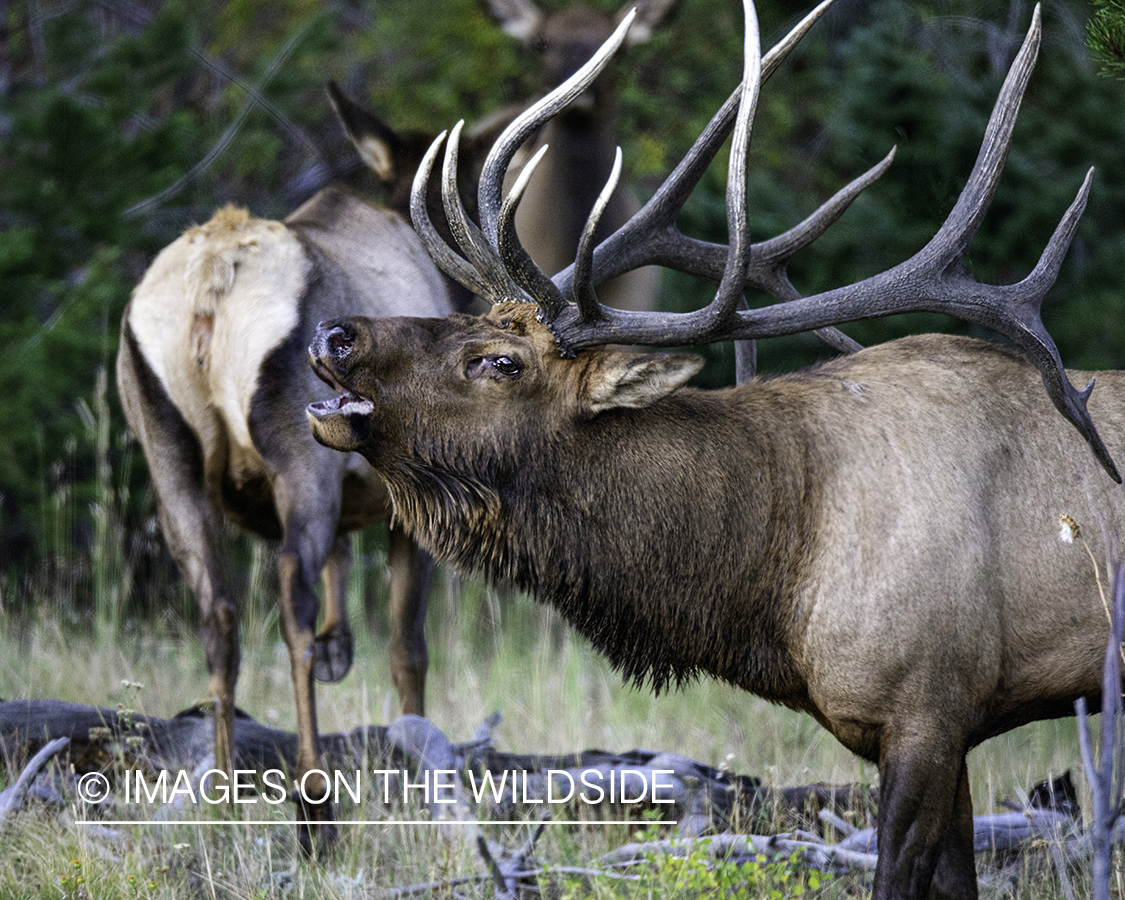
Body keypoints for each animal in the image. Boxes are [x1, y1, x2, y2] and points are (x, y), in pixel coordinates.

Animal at [308, 3, 1125, 895]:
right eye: (469, 317)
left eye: (499, 361)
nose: (335, 333)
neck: (773, 576)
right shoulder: (948, 730)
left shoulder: (928, 707)